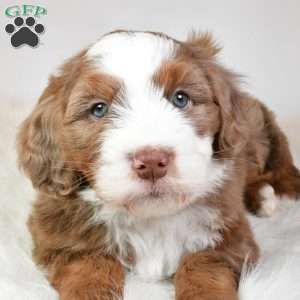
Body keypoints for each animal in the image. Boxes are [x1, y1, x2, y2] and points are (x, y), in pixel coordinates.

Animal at [17, 31, 300, 300]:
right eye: (98, 109)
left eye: (181, 98)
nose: (152, 161)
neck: (150, 217)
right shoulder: (59, 236)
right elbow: (89, 268)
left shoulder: (227, 234)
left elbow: (202, 266)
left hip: (259, 129)